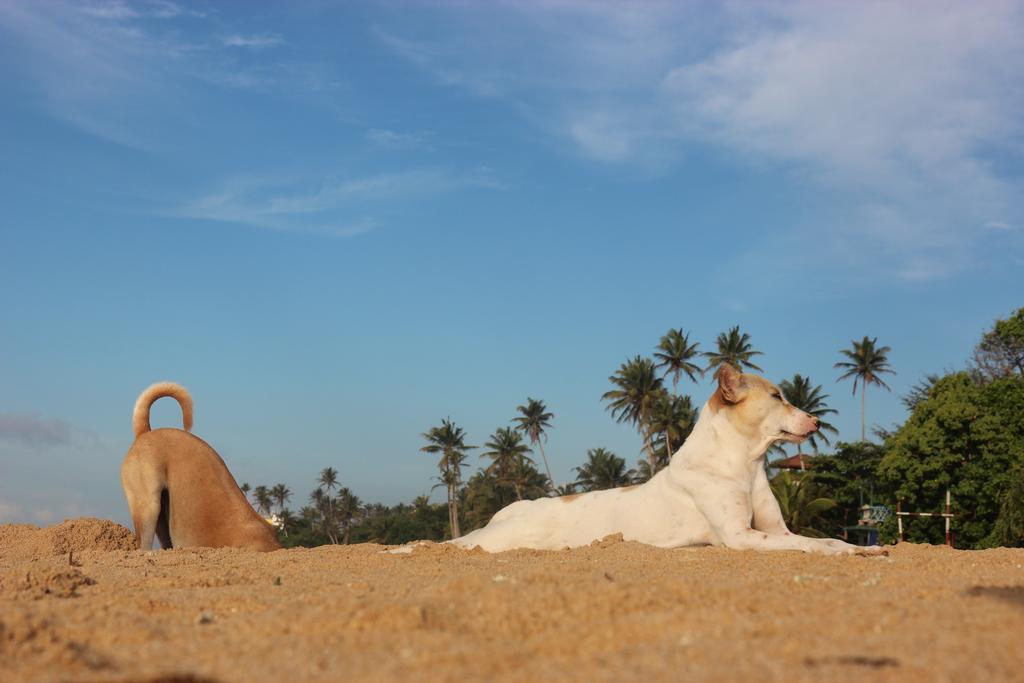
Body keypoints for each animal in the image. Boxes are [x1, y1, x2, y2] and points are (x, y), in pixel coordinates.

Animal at [452, 362, 884, 557]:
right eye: (777, 396)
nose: (817, 421)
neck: (744, 462)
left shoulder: (778, 530)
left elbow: (822, 537)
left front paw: (860, 548)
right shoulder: (741, 536)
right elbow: (812, 545)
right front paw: (843, 551)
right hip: (499, 539)